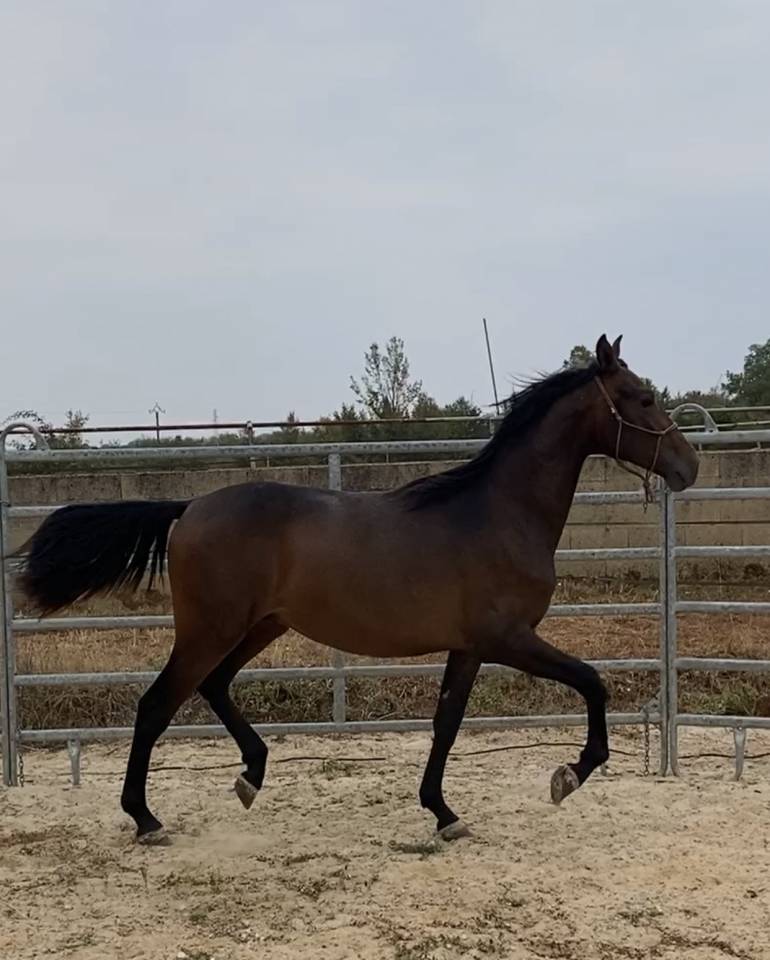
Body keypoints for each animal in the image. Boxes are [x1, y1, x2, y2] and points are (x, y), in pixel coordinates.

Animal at [16, 335, 699, 845]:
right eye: (641, 397)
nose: (688, 467)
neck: (498, 515)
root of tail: (189, 509)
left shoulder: (469, 647)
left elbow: (447, 722)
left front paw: (443, 813)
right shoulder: (509, 638)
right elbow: (593, 681)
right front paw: (569, 775)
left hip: (261, 625)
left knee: (214, 687)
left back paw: (251, 776)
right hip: (211, 629)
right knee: (157, 704)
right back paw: (146, 819)